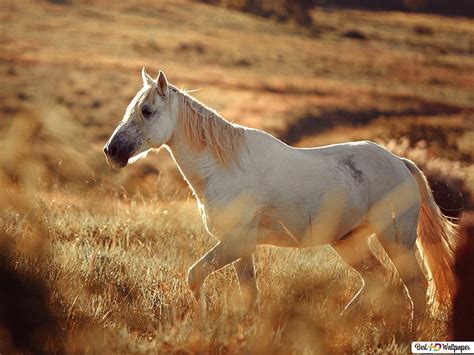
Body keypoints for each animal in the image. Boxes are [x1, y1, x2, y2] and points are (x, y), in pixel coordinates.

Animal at [104, 68, 456, 326]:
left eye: (147, 111)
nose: (112, 151)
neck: (224, 167)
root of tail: (401, 163)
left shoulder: (236, 243)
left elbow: (195, 276)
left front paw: (202, 323)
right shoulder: (241, 248)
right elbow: (248, 293)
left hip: (395, 239)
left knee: (416, 285)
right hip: (349, 242)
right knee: (377, 280)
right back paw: (339, 323)